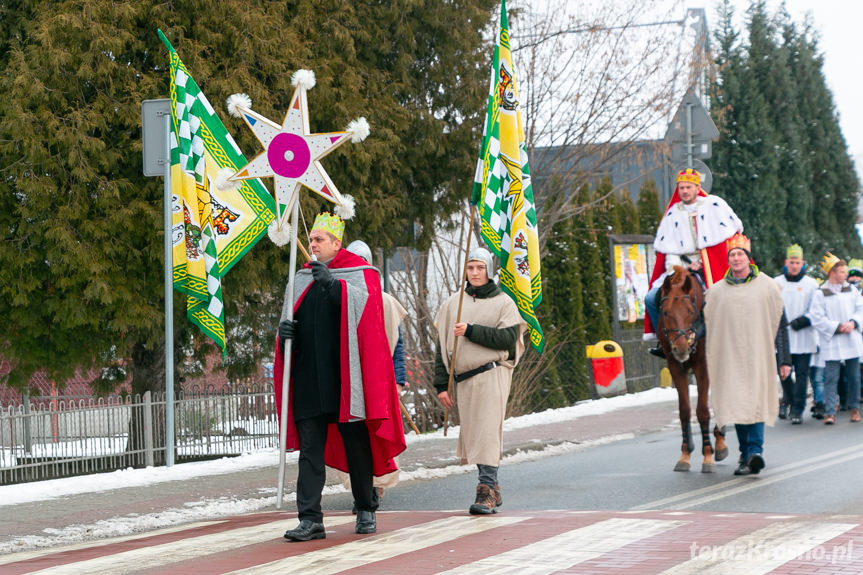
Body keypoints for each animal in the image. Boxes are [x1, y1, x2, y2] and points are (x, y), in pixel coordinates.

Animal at [656, 266, 728, 472]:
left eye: (689, 311)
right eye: (665, 312)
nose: (681, 349)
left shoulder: (702, 365)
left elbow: (702, 411)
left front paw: (708, 456)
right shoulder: (675, 366)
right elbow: (684, 410)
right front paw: (685, 454)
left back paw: (720, 441)